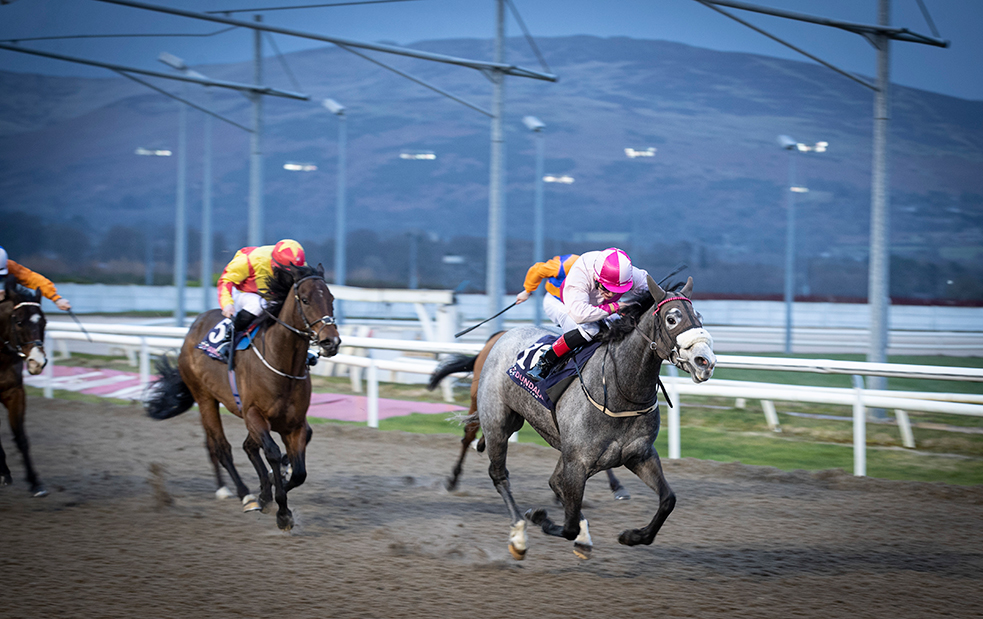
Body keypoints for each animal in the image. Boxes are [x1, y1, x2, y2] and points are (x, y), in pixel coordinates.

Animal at [144, 263, 341, 530]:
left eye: (331, 299)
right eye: (306, 299)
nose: (331, 342)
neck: (282, 364)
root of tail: (194, 326)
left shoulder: (294, 424)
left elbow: (298, 472)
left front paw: (272, 488)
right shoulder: (253, 414)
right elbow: (272, 453)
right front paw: (281, 511)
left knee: (239, 446)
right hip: (205, 397)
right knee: (220, 446)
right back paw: (242, 493)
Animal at [432, 275, 714, 560]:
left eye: (699, 317)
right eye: (672, 318)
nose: (705, 361)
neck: (619, 389)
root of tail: (502, 335)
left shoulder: (639, 454)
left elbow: (668, 500)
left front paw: (632, 536)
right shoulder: (577, 461)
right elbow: (567, 525)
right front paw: (541, 517)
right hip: (497, 421)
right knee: (497, 471)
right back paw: (517, 534)